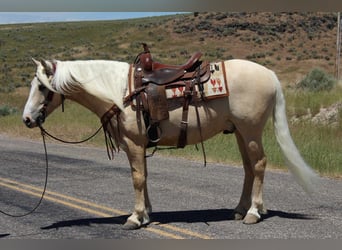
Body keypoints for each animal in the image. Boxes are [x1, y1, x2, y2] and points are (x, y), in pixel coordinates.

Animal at [23, 57, 318, 229]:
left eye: (42, 86)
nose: (26, 119)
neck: (120, 92)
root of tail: (269, 74)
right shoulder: (138, 145)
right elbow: (143, 176)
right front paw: (146, 213)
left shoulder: (134, 143)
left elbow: (137, 178)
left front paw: (135, 217)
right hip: (240, 133)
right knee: (248, 168)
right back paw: (240, 209)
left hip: (251, 131)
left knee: (259, 165)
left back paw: (254, 212)